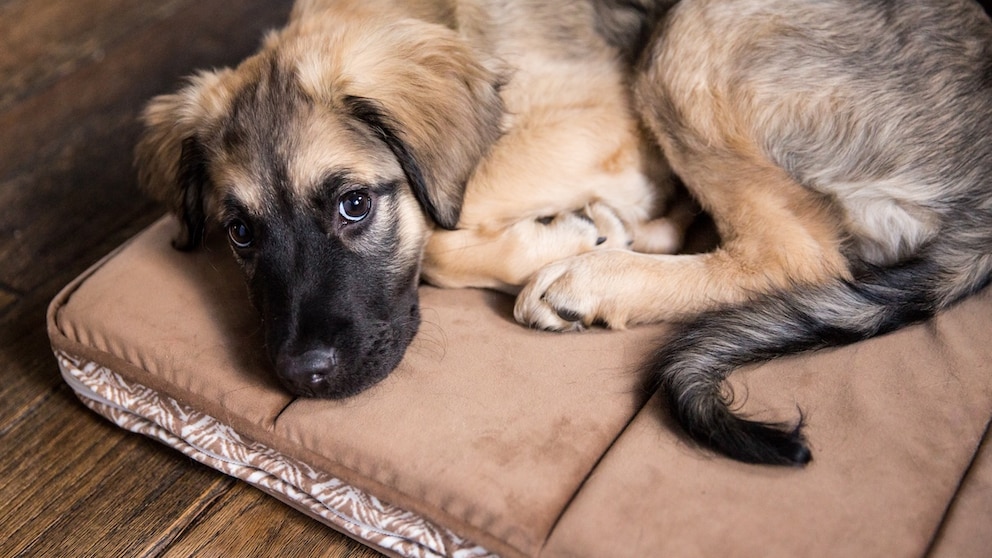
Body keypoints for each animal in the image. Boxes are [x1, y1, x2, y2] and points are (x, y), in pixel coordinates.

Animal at [136, 0, 680, 402]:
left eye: (355, 204)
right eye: (241, 233)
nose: (303, 375)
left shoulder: (605, 123)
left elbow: (445, 228)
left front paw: (582, 233)